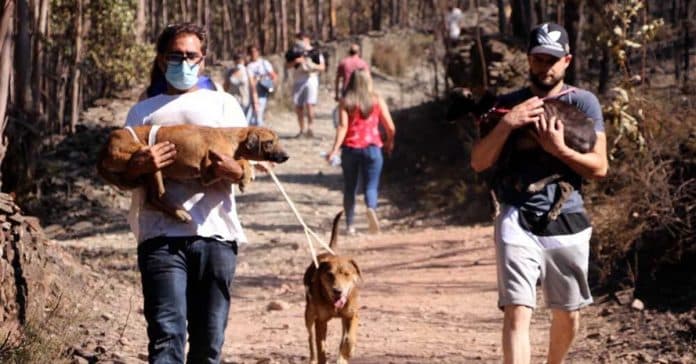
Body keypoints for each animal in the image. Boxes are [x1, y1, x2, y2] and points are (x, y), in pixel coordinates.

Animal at [97, 124, 288, 222]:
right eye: (269, 142)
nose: (287, 156)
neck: (233, 138)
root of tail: (104, 147)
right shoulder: (209, 171)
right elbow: (243, 161)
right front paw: (246, 177)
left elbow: (242, 160)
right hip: (149, 156)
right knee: (156, 194)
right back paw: (178, 211)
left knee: (152, 197)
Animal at [304, 212, 362, 364]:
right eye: (329, 275)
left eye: (347, 274)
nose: (338, 291)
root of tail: (330, 252)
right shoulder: (320, 321)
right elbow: (321, 347)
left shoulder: (352, 314)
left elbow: (349, 339)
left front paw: (348, 352)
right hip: (309, 313)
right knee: (310, 338)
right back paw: (312, 358)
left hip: (343, 318)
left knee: (343, 336)